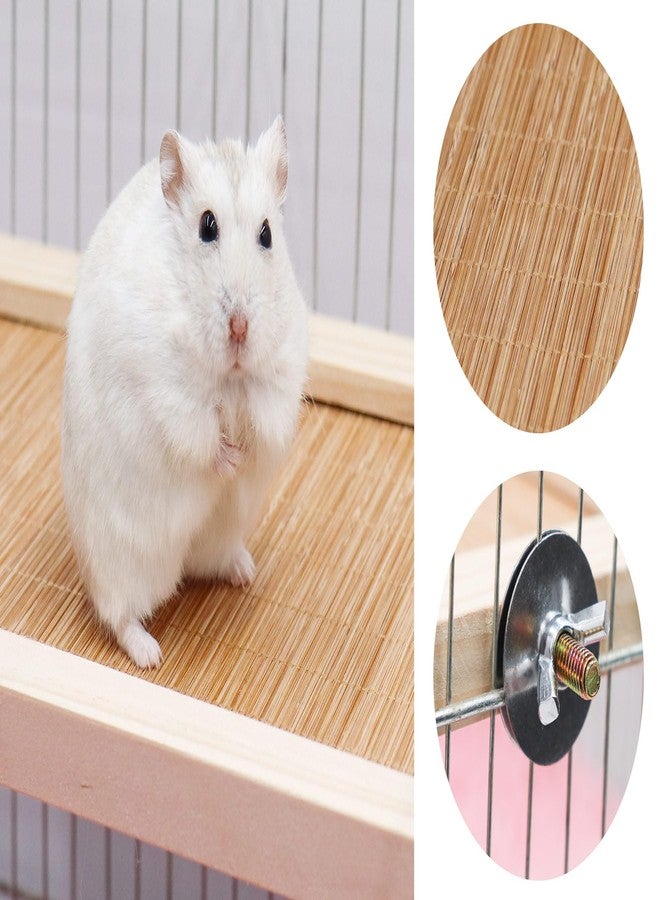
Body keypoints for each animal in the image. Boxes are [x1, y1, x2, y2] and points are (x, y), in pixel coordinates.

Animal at [61, 117, 308, 668]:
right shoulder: (166, 391)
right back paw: (150, 655)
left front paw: (245, 452)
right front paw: (230, 459)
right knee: (117, 614)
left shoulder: (278, 378)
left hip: (218, 533)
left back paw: (245, 572)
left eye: (267, 233)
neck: (229, 375)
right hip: (124, 558)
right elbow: (201, 435)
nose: (239, 327)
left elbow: (261, 419)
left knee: (210, 563)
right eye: (206, 226)